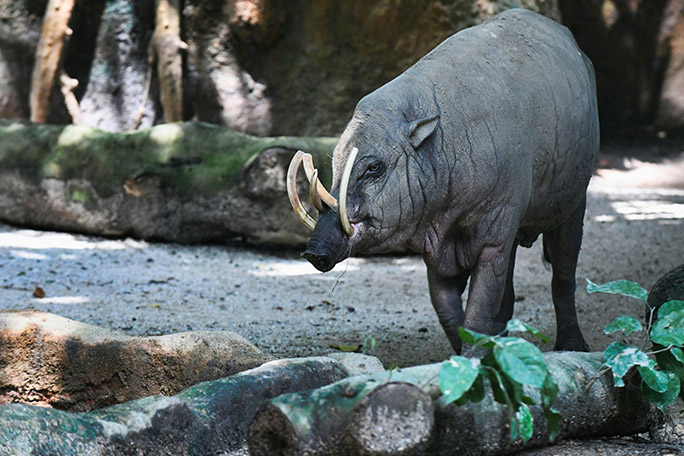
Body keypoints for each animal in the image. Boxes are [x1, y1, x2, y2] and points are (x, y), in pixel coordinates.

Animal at [287, 9, 599, 354]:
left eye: (374, 168)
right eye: (335, 165)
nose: (314, 252)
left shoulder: (495, 232)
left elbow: (478, 313)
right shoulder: (436, 242)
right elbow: (449, 311)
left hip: (573, 202)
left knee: (564, 275)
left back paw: (572, 345)